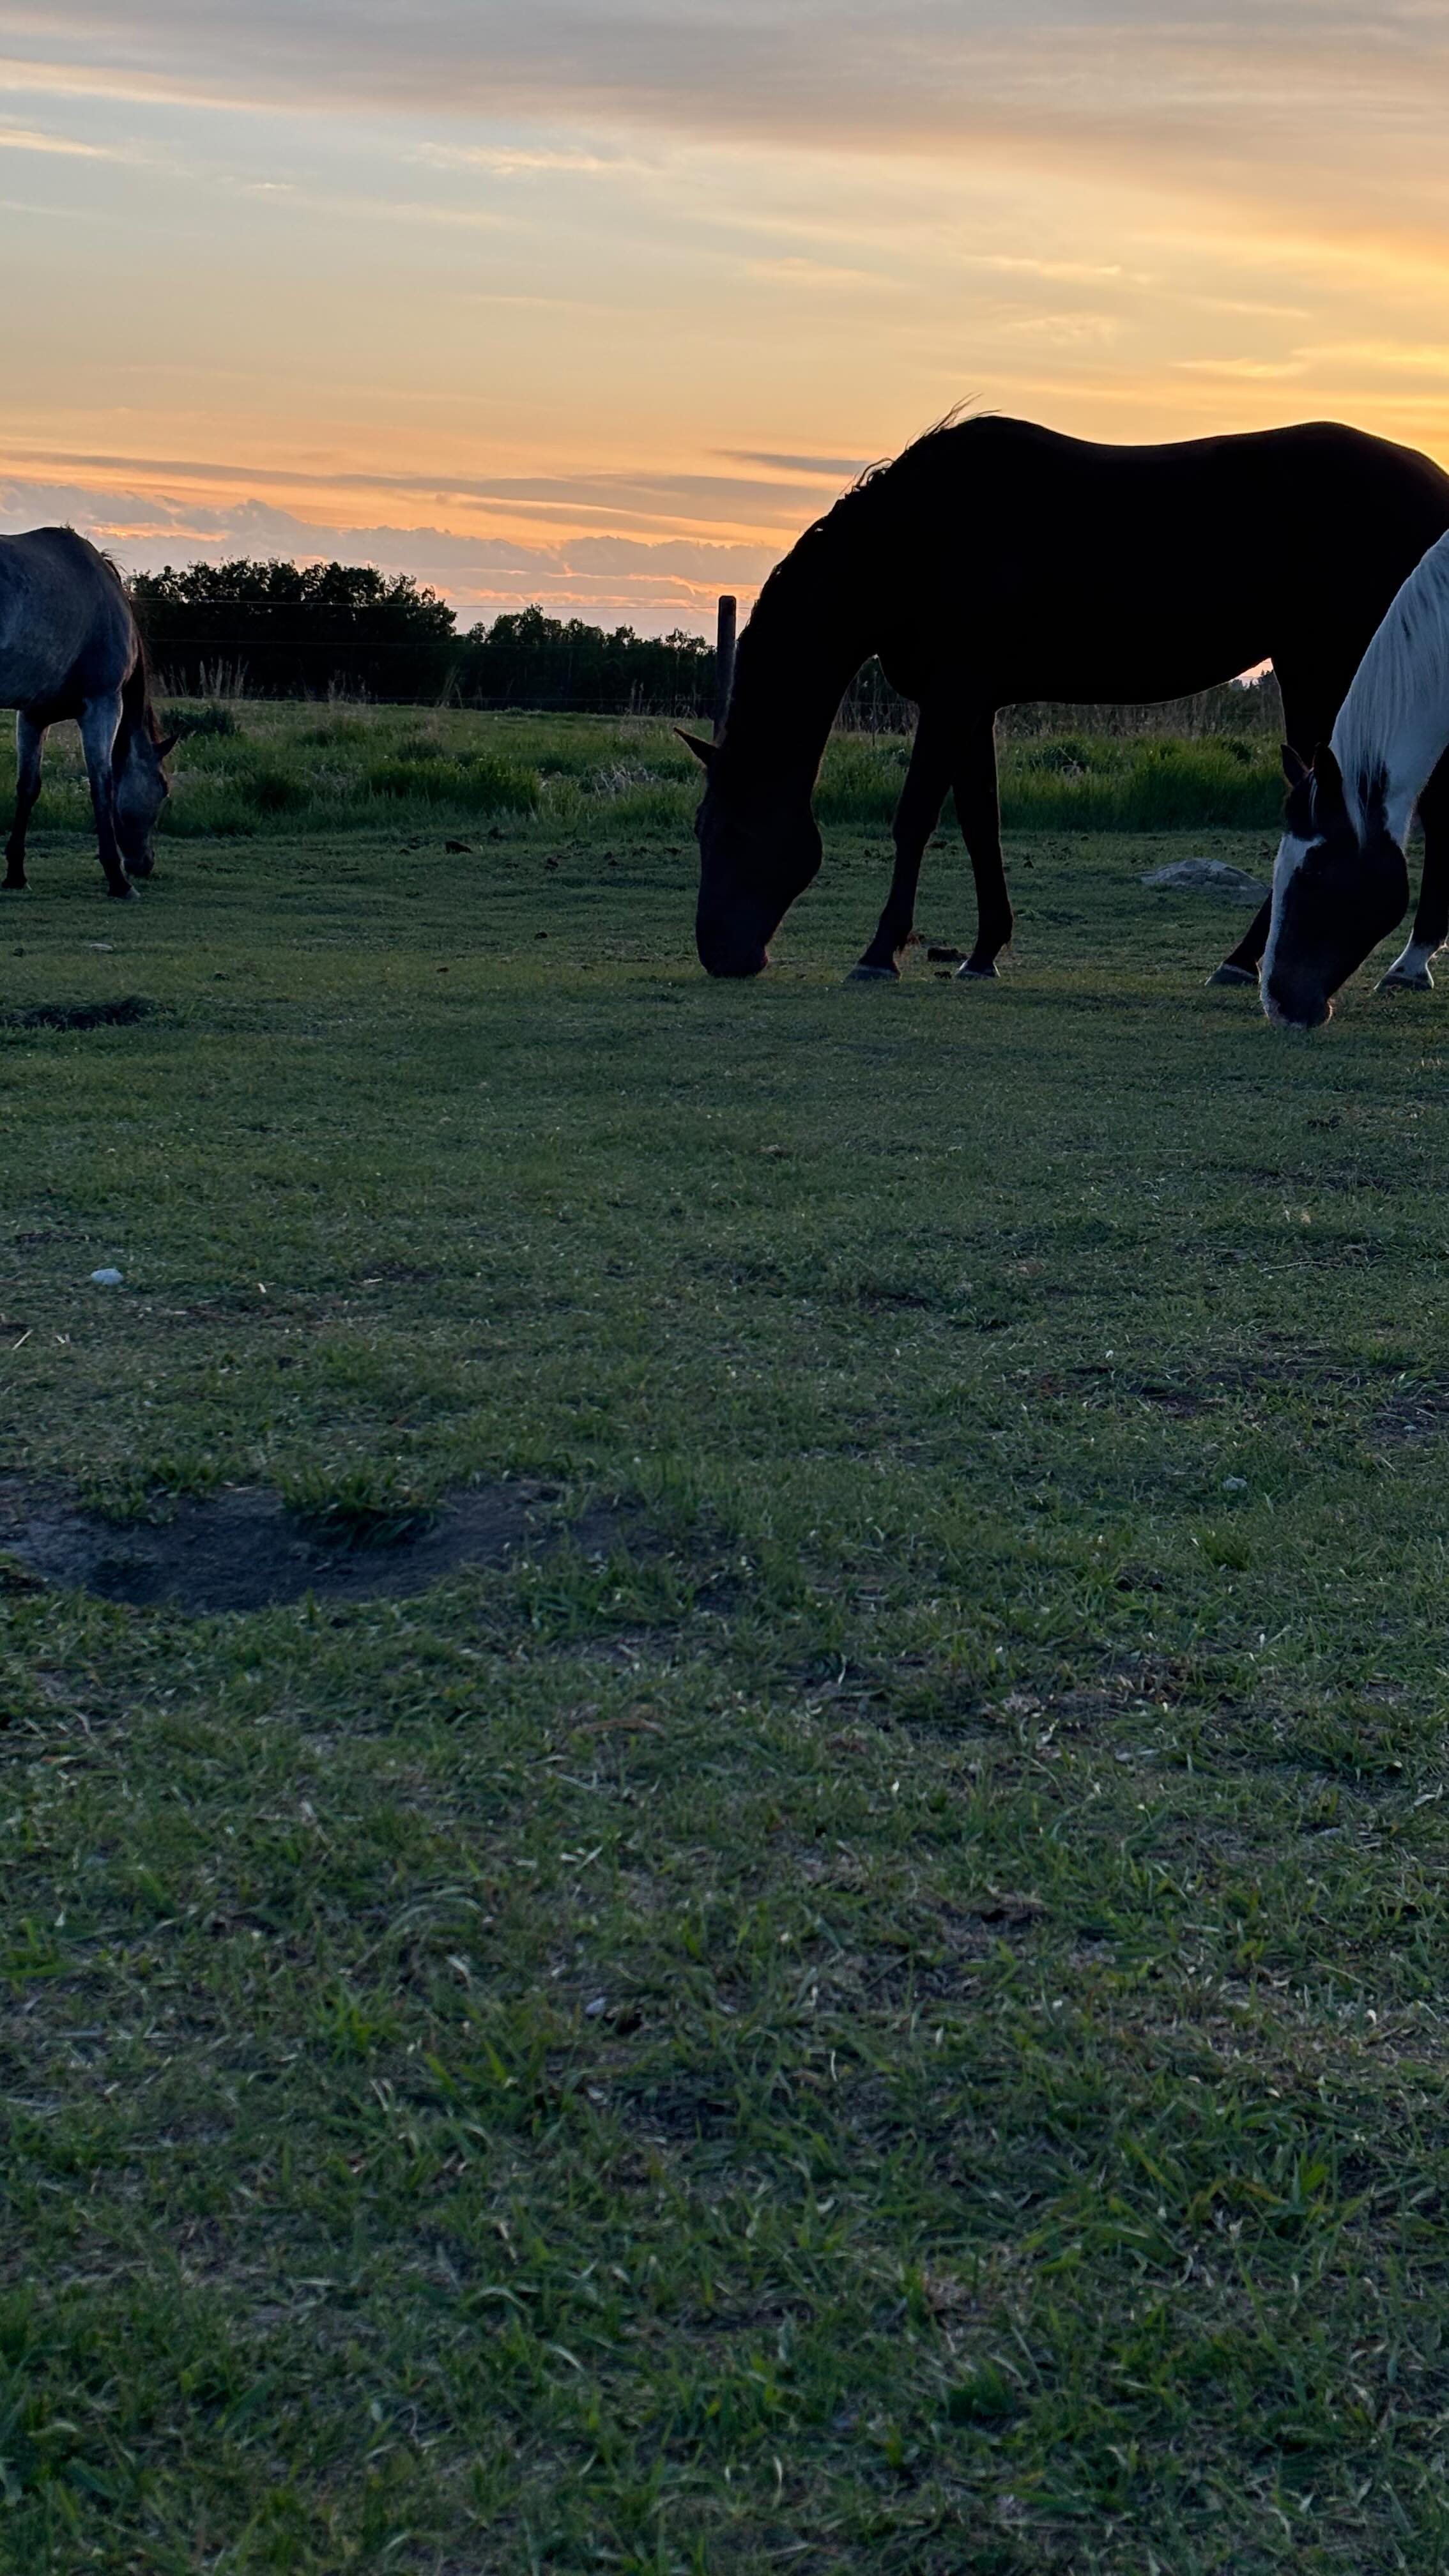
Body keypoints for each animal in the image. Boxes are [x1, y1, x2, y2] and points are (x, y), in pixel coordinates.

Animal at [0, 528, 177, 899]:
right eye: (163, 787)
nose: (145, 864)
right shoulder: (104, 704)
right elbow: (102, 785)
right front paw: (118, 880)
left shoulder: (33, 716)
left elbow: (28, 788)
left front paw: (16, 874)